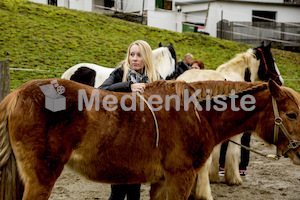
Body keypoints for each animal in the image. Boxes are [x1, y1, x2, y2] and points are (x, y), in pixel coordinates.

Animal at [0, 78, 298, 200]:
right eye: (292, 114)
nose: (299, 151)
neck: (197, 111)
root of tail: (15, 96)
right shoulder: (181, 177)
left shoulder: (161, 181)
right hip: (41, 179)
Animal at [177, 41, 284, 199]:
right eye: (272, 60)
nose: (280, 81)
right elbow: (233, 153)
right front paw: (234, 179)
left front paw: (214, 176)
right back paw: (204, 193)